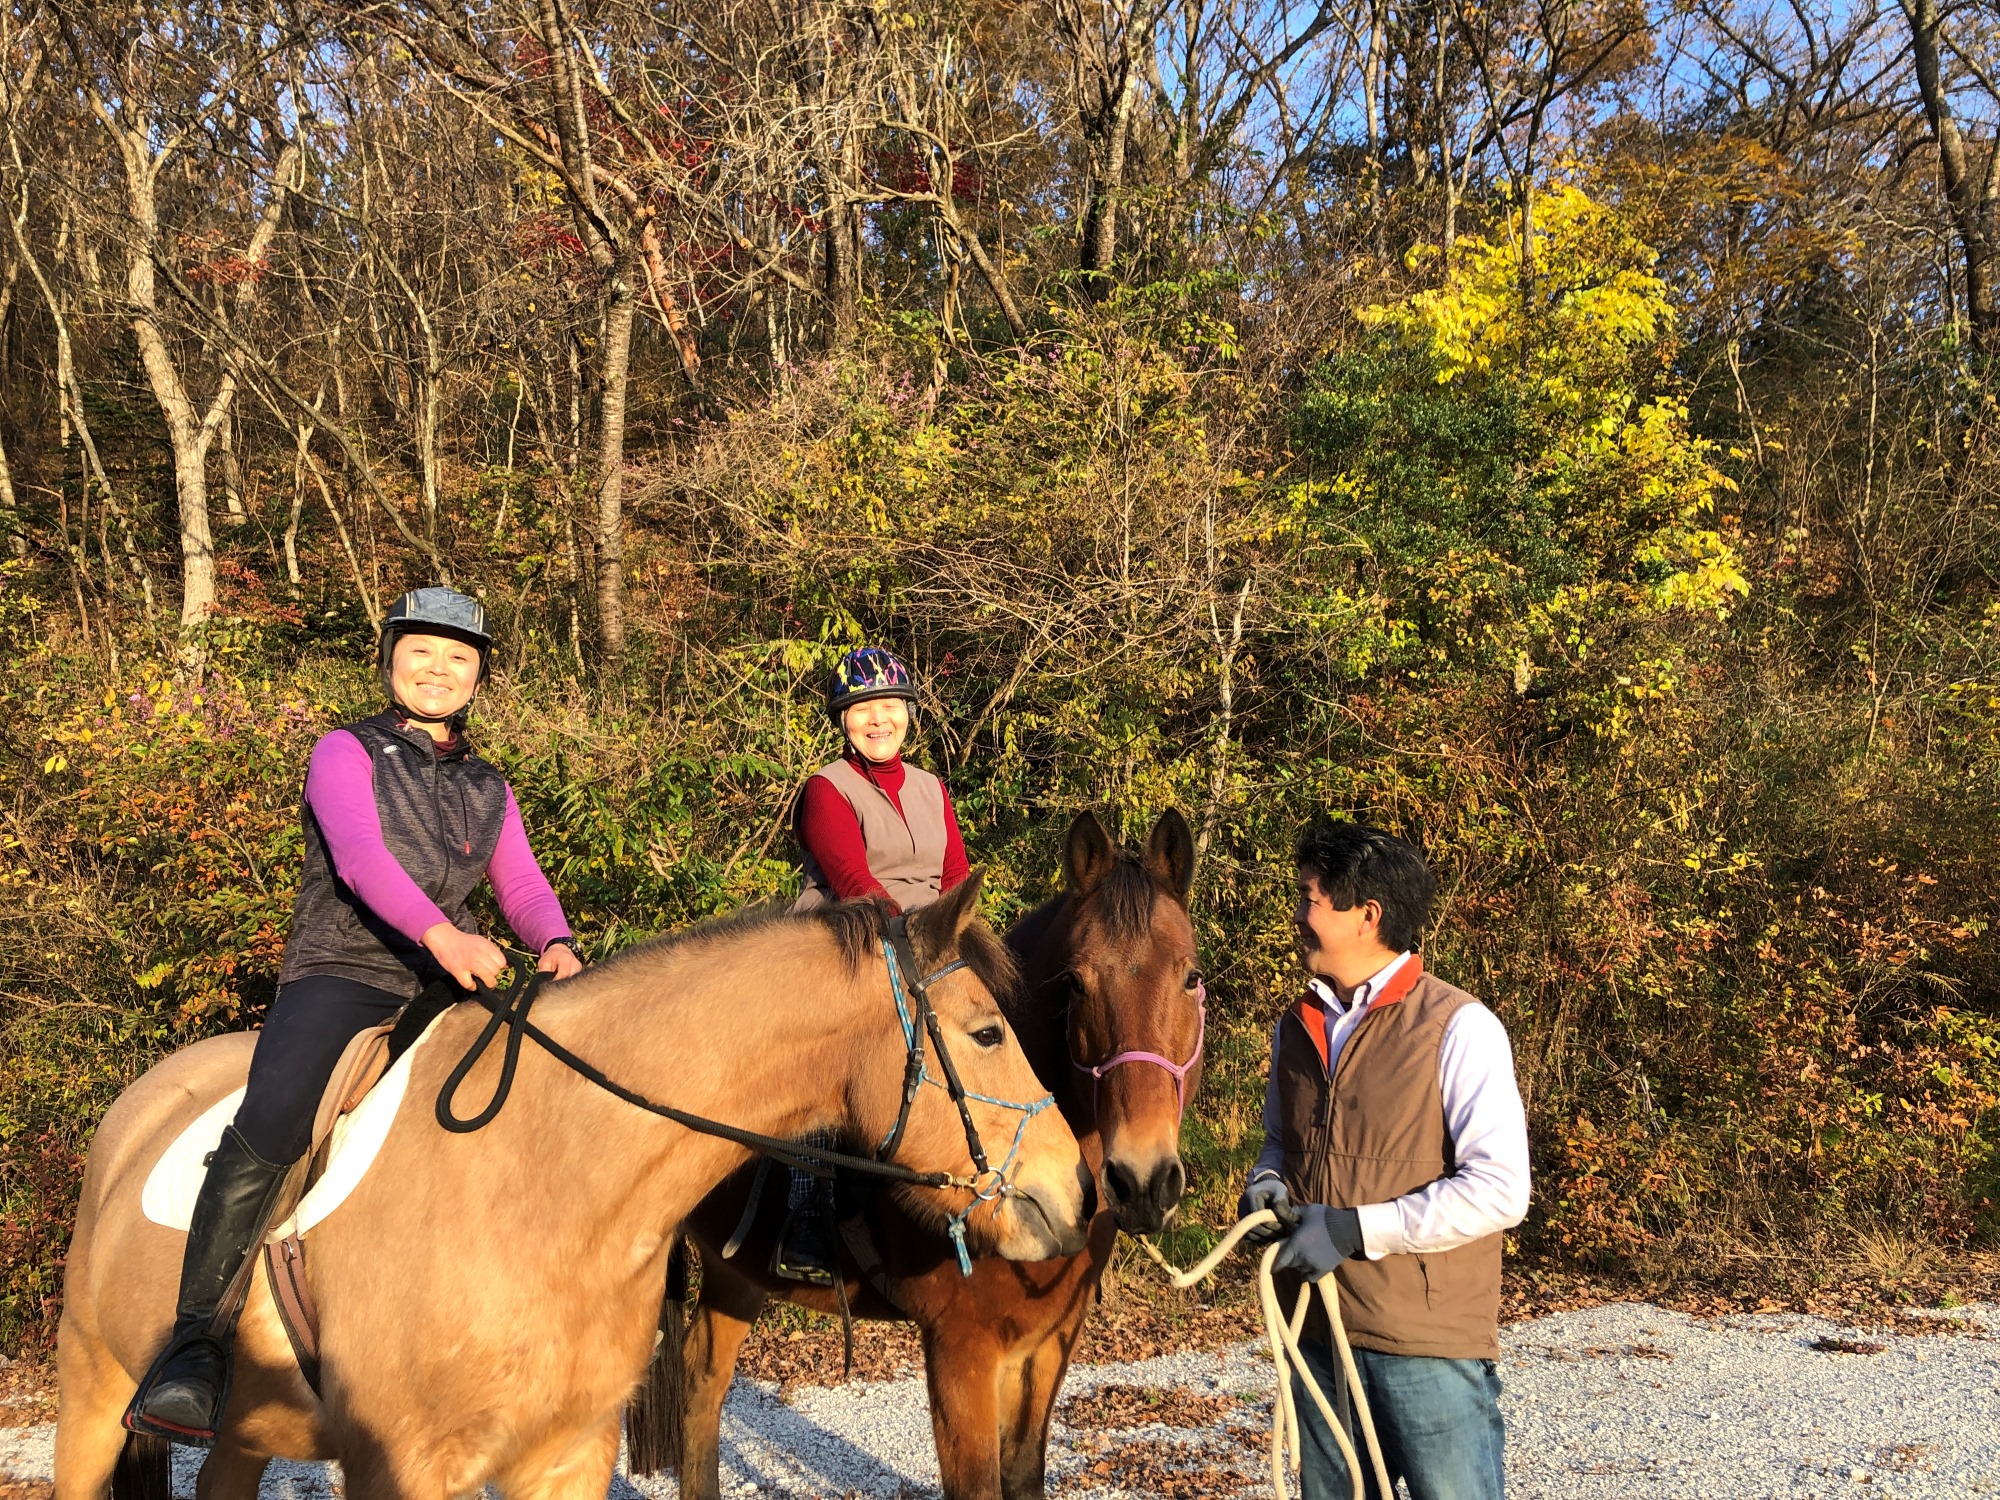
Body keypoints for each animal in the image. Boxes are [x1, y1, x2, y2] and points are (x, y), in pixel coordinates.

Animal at [54, 880, 1088, 1500]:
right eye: (988, 1033)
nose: (1074, 1189)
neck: (547, 1185)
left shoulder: (568, 1453)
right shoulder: (399, 1468)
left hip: (243, 1432)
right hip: (94, 1397)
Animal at [672, 816, 1200, 1496]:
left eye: (1190, 978)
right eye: (1074, 984)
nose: (1142, 1180)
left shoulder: (1046, 1347)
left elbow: (1023, 1474)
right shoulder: (961, 1350)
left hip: (733, 1272)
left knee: (701, 1382)